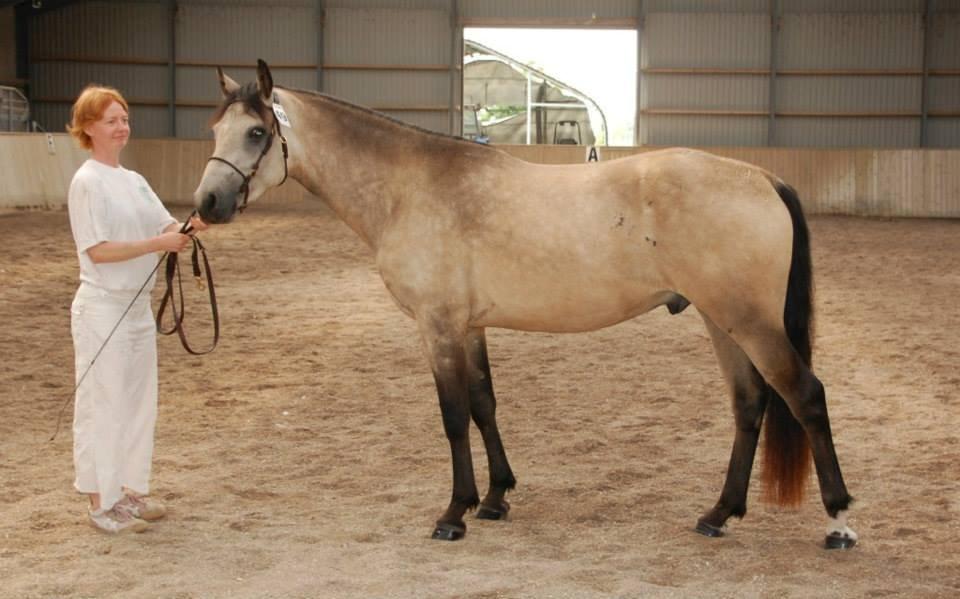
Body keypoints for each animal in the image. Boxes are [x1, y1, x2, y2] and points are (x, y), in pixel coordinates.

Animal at [193, 59, 856, 548]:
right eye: (214, 132)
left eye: (257, 133)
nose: (207, 204)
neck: (411, 188)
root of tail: (761, 177)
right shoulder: (469, 327)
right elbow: (485, 405)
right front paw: (495, 498)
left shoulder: (438, 326)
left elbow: (453, 415)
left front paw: (454, 512)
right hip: (723, 321)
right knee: (750, 406)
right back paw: (718, 514)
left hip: (750, 323)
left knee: (805, 397)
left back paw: (839, 521)